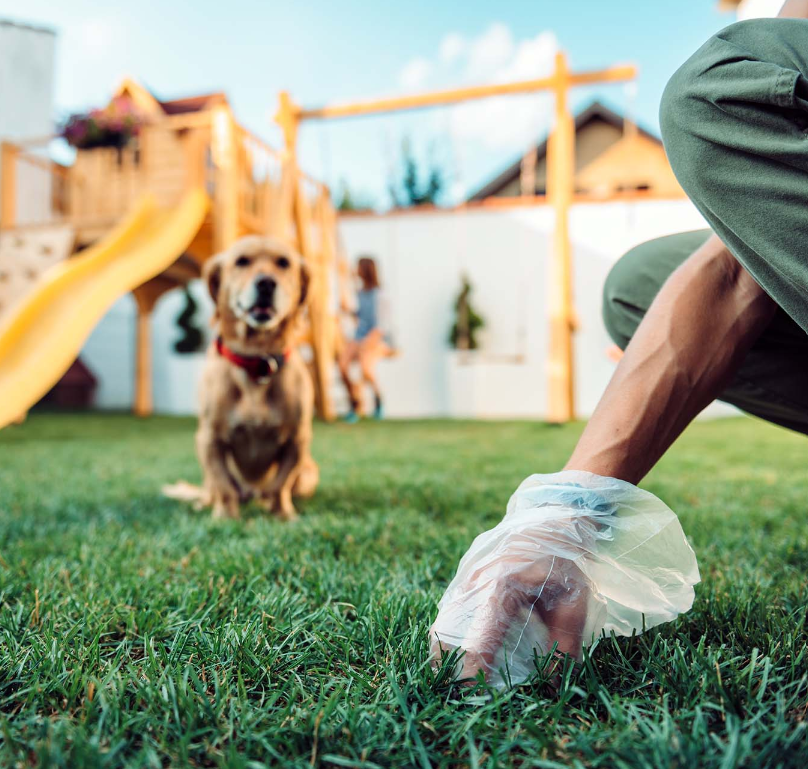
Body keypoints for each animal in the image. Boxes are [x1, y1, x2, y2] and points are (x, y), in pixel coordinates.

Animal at [163, 237, 318, 520]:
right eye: (242, 261)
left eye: (284, 263)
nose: (266, 283)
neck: (256, 361)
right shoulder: (209, 440)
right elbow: (224, 486)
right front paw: (225, 517)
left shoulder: (297, 441)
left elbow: (280, 484)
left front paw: (282, 514)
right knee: (212, 489)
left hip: (310, 473)